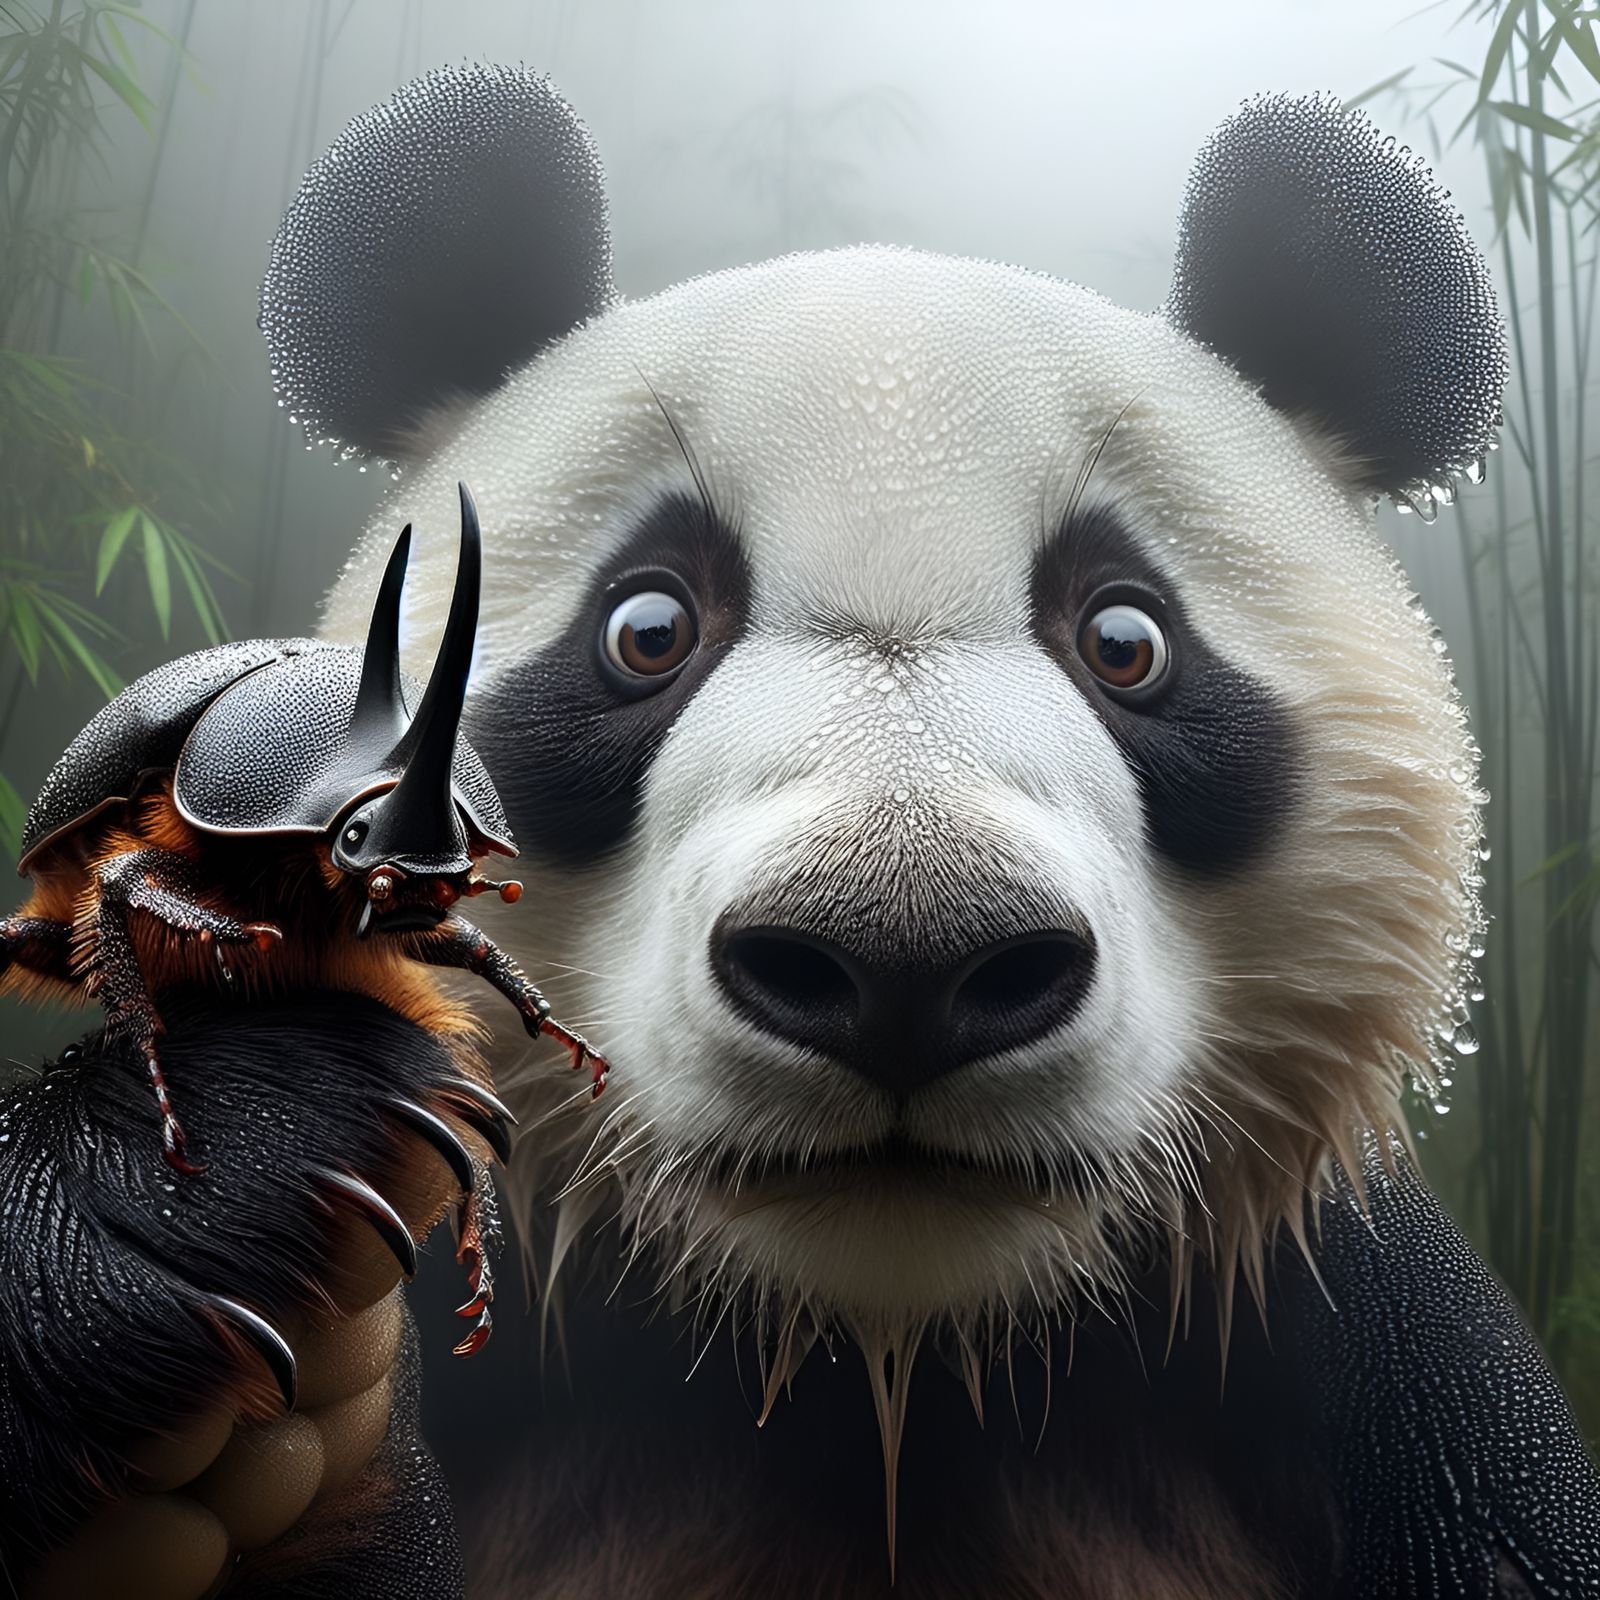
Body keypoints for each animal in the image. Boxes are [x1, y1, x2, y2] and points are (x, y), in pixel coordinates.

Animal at [4, 61, 1600, 1600]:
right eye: (646, 628)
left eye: (1127, 641)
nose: (905, 958)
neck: (880, 1362)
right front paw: (205, 1213)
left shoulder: (1352, 1342)